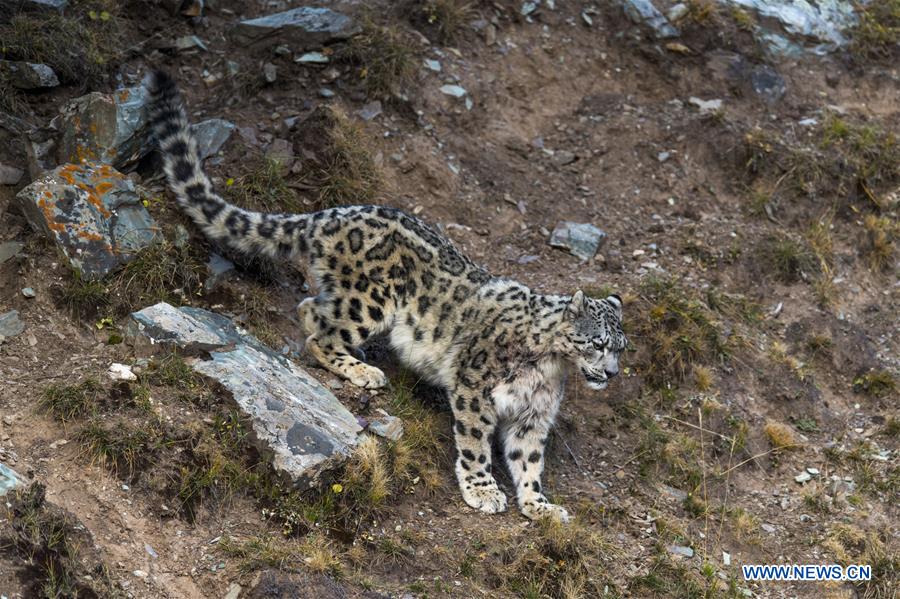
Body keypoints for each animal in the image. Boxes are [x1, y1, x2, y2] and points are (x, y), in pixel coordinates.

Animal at [148, 69, 624, 520]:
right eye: (599, 343)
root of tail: (326, 214)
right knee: (320, 331)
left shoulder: (533, 416)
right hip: (370, 301)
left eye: (621, 347)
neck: (549, 367)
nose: (613, 373)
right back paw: (363, 371)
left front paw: (540, 506)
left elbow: (528, 462)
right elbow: (475, 442)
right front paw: (483, 491)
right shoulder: (474, 387)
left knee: (310, 307)